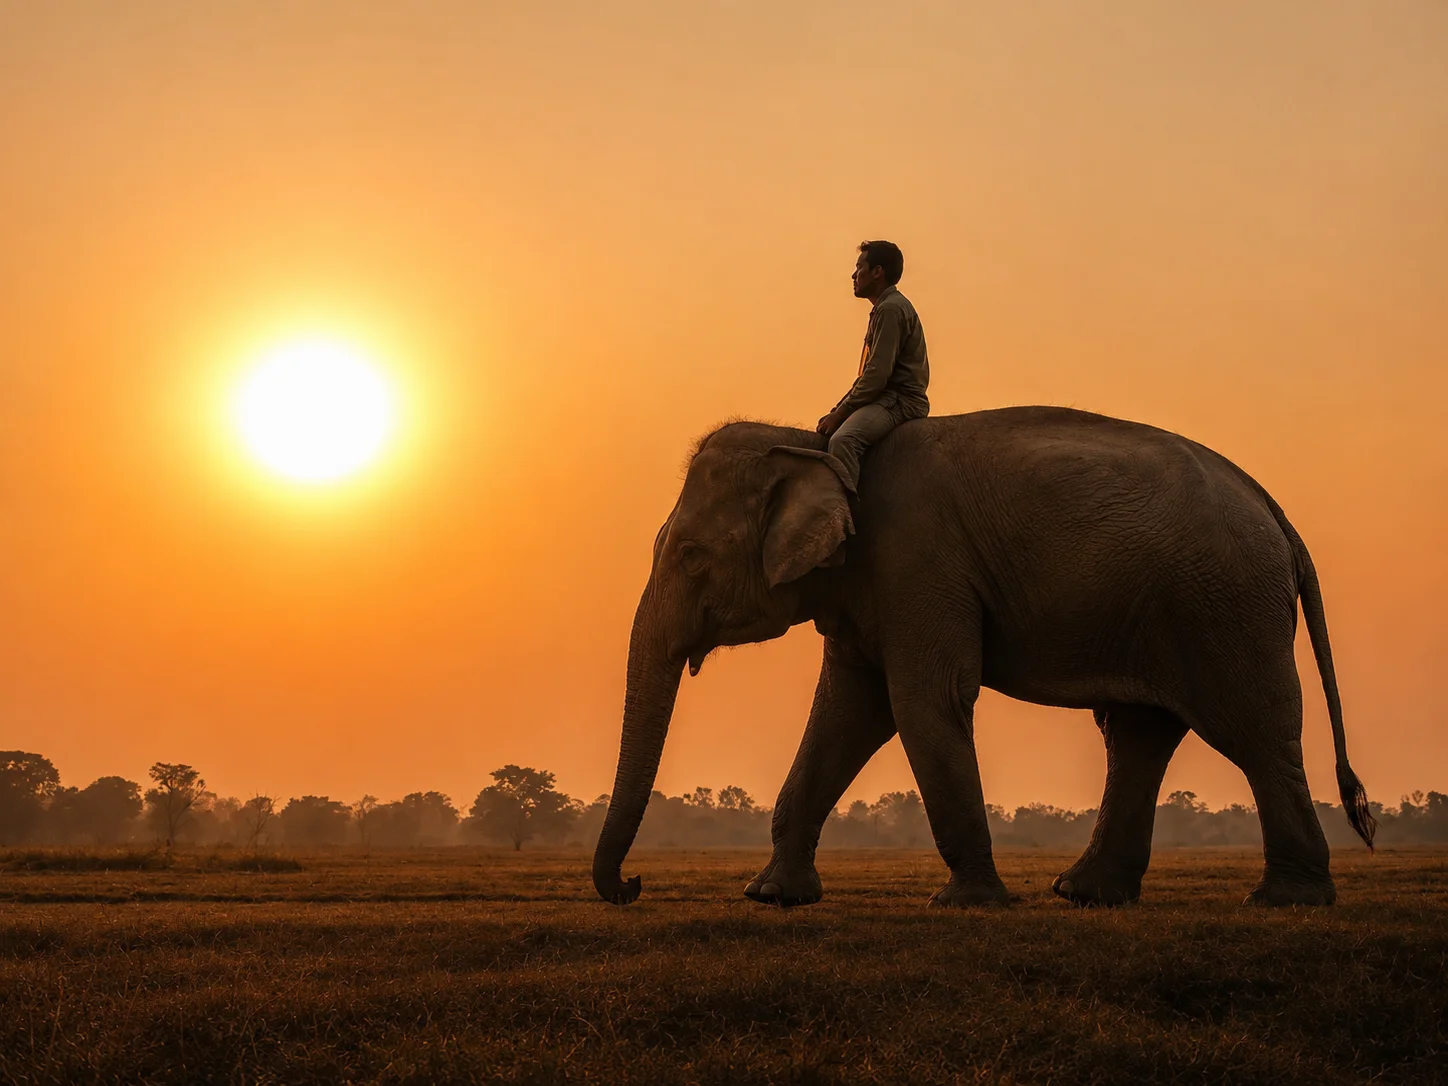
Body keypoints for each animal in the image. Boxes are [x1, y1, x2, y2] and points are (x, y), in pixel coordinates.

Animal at [591, 406, 1376, 908]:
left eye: (692, 556)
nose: (632, 887)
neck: (814, 443)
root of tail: (1275, 511)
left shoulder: (918, 562)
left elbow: (920, 699)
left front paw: (969, 902)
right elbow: (848, 711)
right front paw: (773, 897)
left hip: (1225, 604)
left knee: (1253, 730)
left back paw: (1287, 900)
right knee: (1139, 733)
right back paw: (1086, 895)